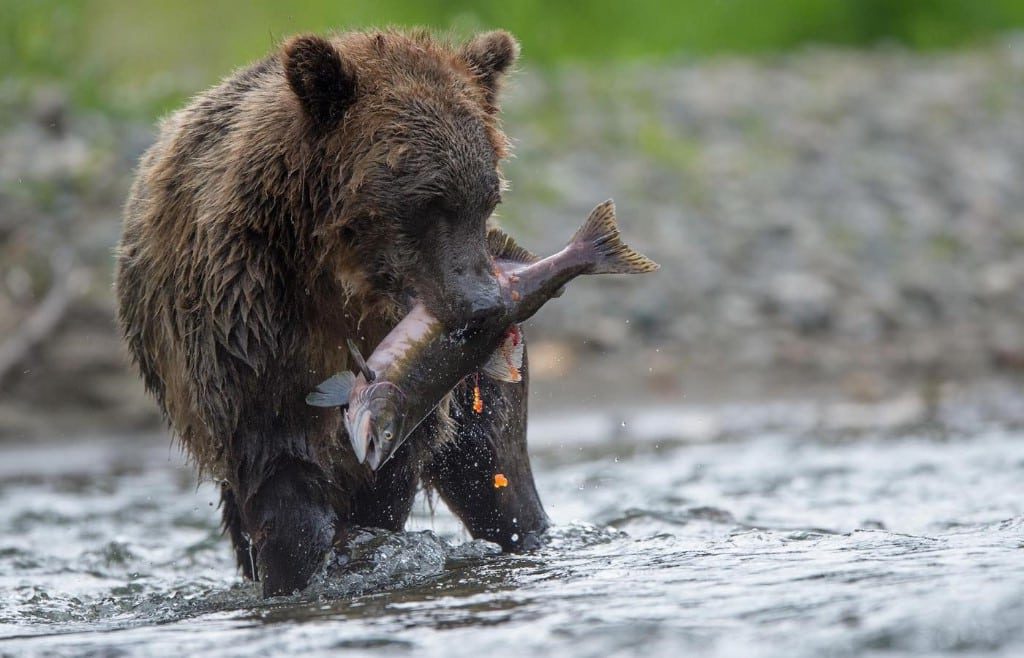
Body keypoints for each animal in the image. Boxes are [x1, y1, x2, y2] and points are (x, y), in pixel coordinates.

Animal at [115, 29, 548, 597]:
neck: (337, 279)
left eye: (486, 196)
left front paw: (360, 547)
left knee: (497, 473)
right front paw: (300, 569)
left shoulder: (410, 391)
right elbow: (277, 473)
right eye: (428, 200)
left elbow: (389, 475)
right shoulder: (245, 329)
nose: (486, 304)